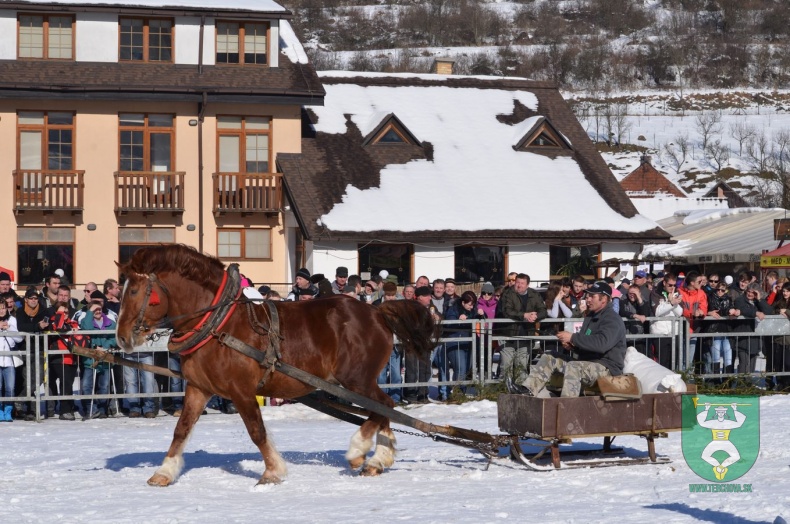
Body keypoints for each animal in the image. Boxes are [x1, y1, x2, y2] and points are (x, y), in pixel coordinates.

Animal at [116, 246, 440, 488]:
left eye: (133, 292)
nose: (122, 337)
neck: (219, 325)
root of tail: (377, 311)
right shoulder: (199, 388)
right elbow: (181, 430)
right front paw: (164, 472)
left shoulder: (241, 390)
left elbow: (256, 431)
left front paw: (272, 471)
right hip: (359, 381)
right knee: (383, 409)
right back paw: (378, 459)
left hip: (357, 379)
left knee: (382, 406)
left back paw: (358, 451)